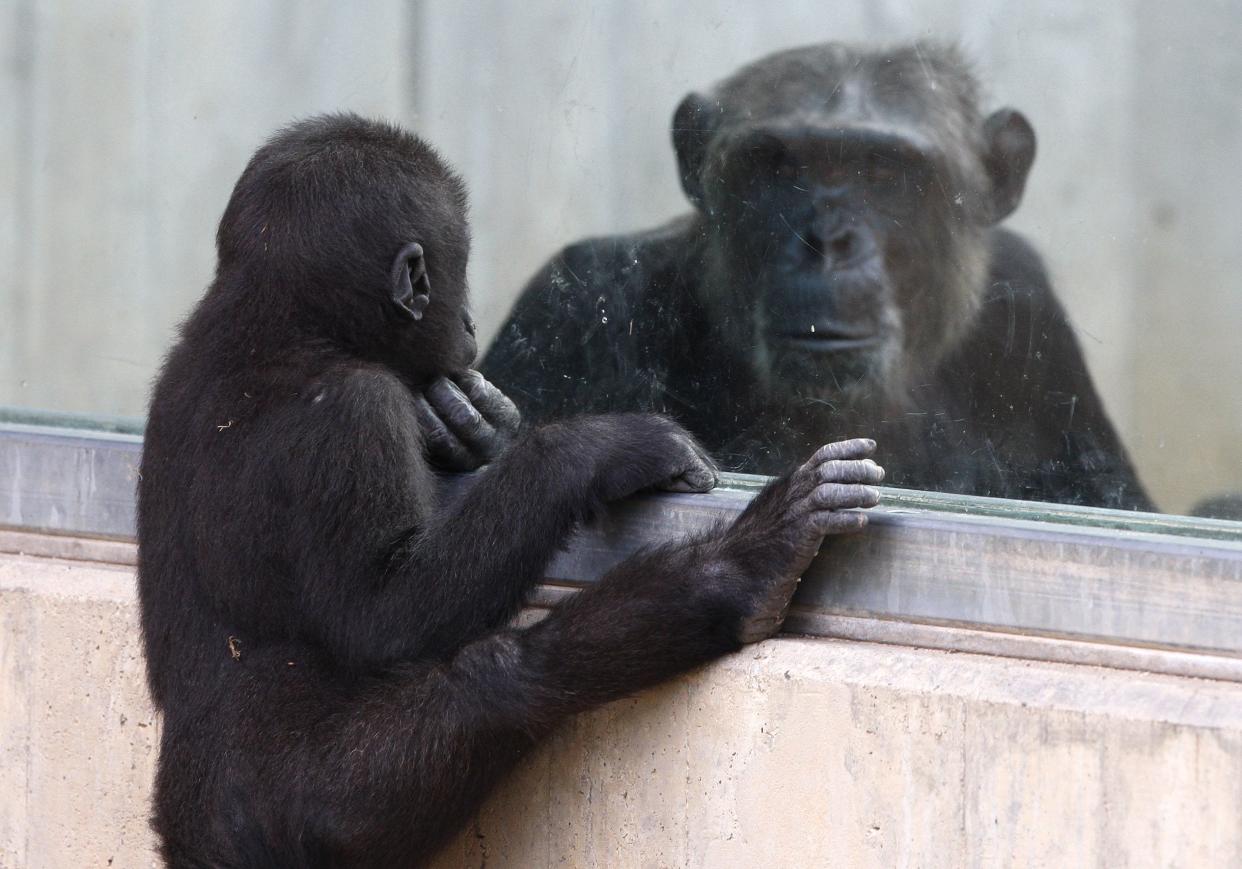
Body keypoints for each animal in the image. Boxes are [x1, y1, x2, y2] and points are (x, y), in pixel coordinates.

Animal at [135, 115, 884, 869]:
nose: (467, 321)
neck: (284, 322)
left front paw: (474, 425)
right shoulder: (353, 413)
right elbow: (385, 616)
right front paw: (596, 447)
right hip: (303, 816)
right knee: (503, 681)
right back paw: (739, 570)